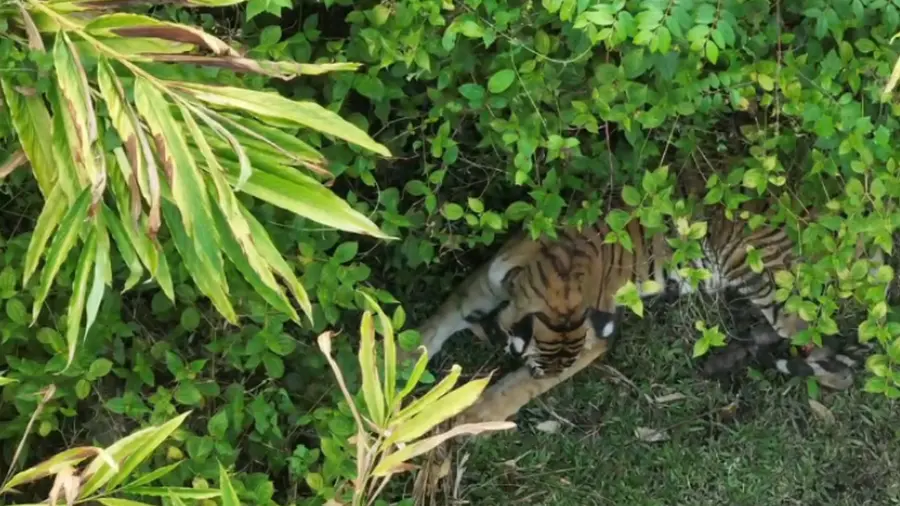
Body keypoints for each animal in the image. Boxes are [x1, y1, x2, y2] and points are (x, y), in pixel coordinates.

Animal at [411, 198, 883, 391]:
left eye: (540, 374)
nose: (541, 380)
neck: (560, 281)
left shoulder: (592, 340)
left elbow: (500, 397)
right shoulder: (485, 282)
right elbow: (439, 322)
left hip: (771, 281)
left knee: (827, 351)